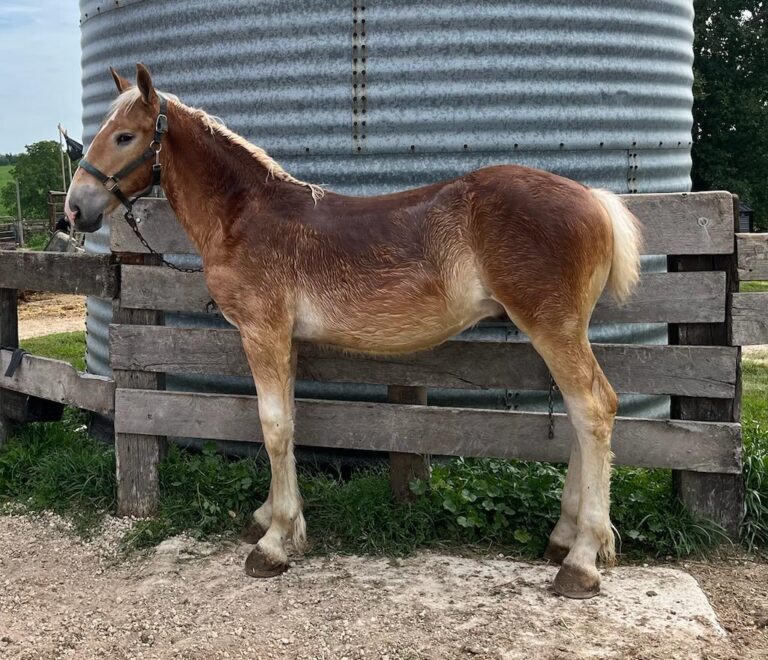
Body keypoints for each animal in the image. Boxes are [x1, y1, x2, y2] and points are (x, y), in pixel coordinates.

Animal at [65, 64, 641, 599]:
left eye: (125, 136)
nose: (75, 209)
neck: (245, 216)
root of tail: (593, 198)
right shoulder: (285, 341)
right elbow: (288, 421)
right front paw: (275, 518)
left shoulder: (263, 333)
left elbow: (273, 426)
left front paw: (274, 543)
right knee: (581, 416)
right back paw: (565, 539)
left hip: (553, 328)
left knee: (594, 409)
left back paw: (582, 560)